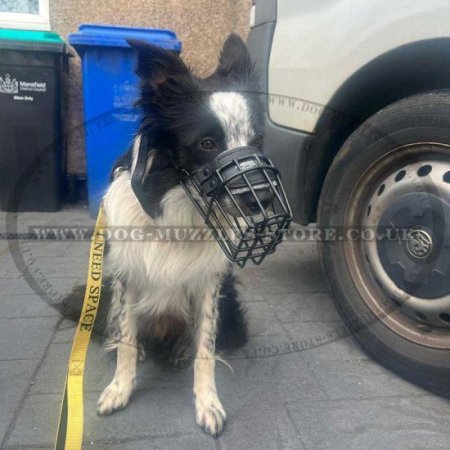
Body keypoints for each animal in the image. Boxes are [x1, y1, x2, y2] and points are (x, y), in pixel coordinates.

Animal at [90, 34, 264, 436]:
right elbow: (125, 338)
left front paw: (208, 403)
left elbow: (206, 348)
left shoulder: (209, 286)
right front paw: (120, 389)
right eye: (206, 144)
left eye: (256, 140)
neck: (178, 209)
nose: (261, 198)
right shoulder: (125, 276)